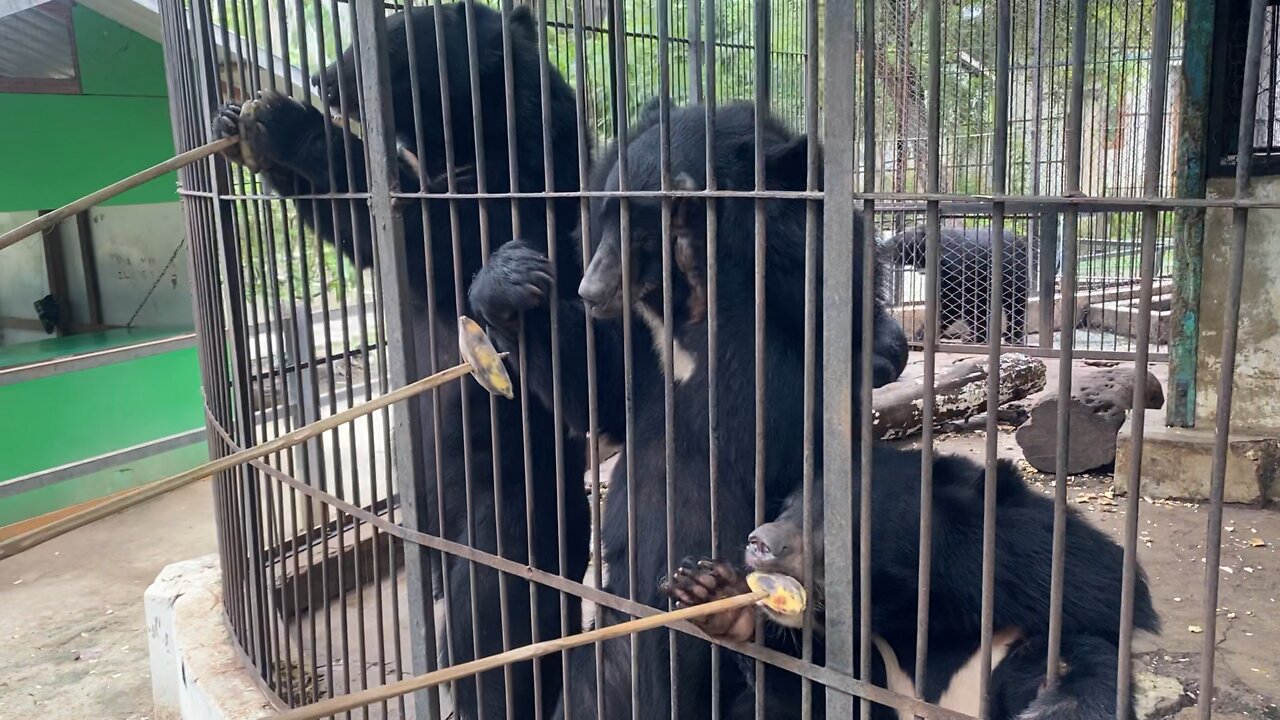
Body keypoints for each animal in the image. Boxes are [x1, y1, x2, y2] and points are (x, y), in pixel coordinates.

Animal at [211, 2, 588, 712]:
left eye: (387, 42)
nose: (324, 77)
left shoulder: (516, 186)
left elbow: (423, 238)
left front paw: (279, 118)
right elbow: (369, 238)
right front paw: (235, 122)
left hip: (507, 506)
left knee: (490, 620)